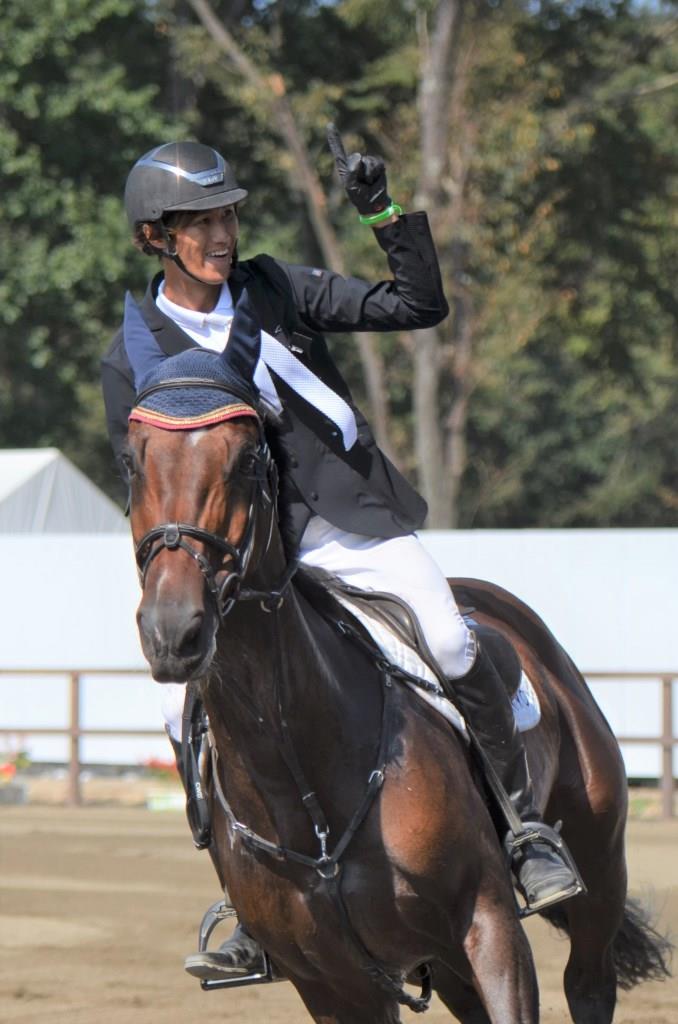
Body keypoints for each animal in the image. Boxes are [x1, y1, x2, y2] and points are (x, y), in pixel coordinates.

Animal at [124, 292, 671, 1019]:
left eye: (246, 460)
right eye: (132, 463)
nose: (173, 630)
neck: (298, 773)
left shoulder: (488, 924)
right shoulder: (335, 982)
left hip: (598, 869)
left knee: (589, 980)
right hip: (442, 965)